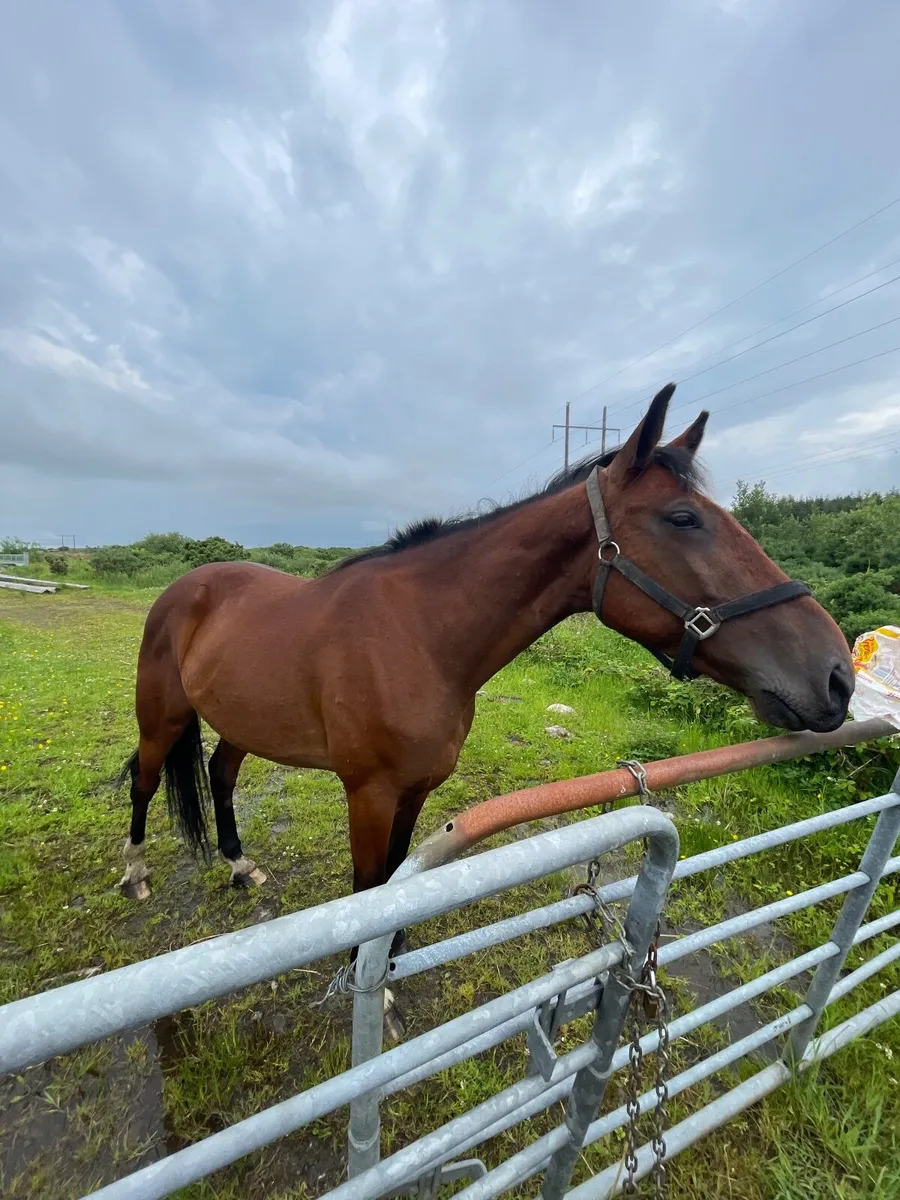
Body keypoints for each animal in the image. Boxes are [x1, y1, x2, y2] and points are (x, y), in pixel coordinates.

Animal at [119, 382, 853, 987]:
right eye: (682, 519)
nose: (837, 676)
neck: (421, 635)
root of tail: (187, 586)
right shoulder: (368, 794)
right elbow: (367, 890)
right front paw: (368, 988)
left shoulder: (415, 791)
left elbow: (397, 880)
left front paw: (389, 964)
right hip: (161, 717)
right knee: (146, 781)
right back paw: (135, 875)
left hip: (242, 722)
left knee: (219, 774)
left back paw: (239, 866)